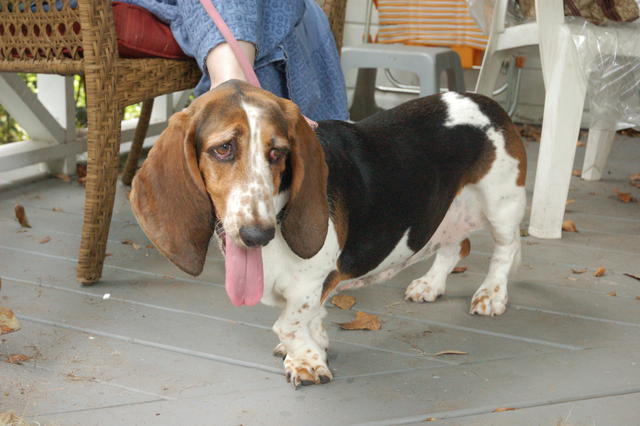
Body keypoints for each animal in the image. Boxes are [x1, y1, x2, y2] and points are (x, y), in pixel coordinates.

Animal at [130, 80, 526, 388]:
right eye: (223, 149)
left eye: (278, 152)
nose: (258, 235)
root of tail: (485, 101)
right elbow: (309, 319)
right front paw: (313, 346)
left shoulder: (313, 278)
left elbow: (289, 323)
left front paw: (306, 360)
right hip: (446, 209)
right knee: (456, 246)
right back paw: (430, 284)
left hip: (501, 204)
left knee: (505, 251)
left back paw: (491, 296)